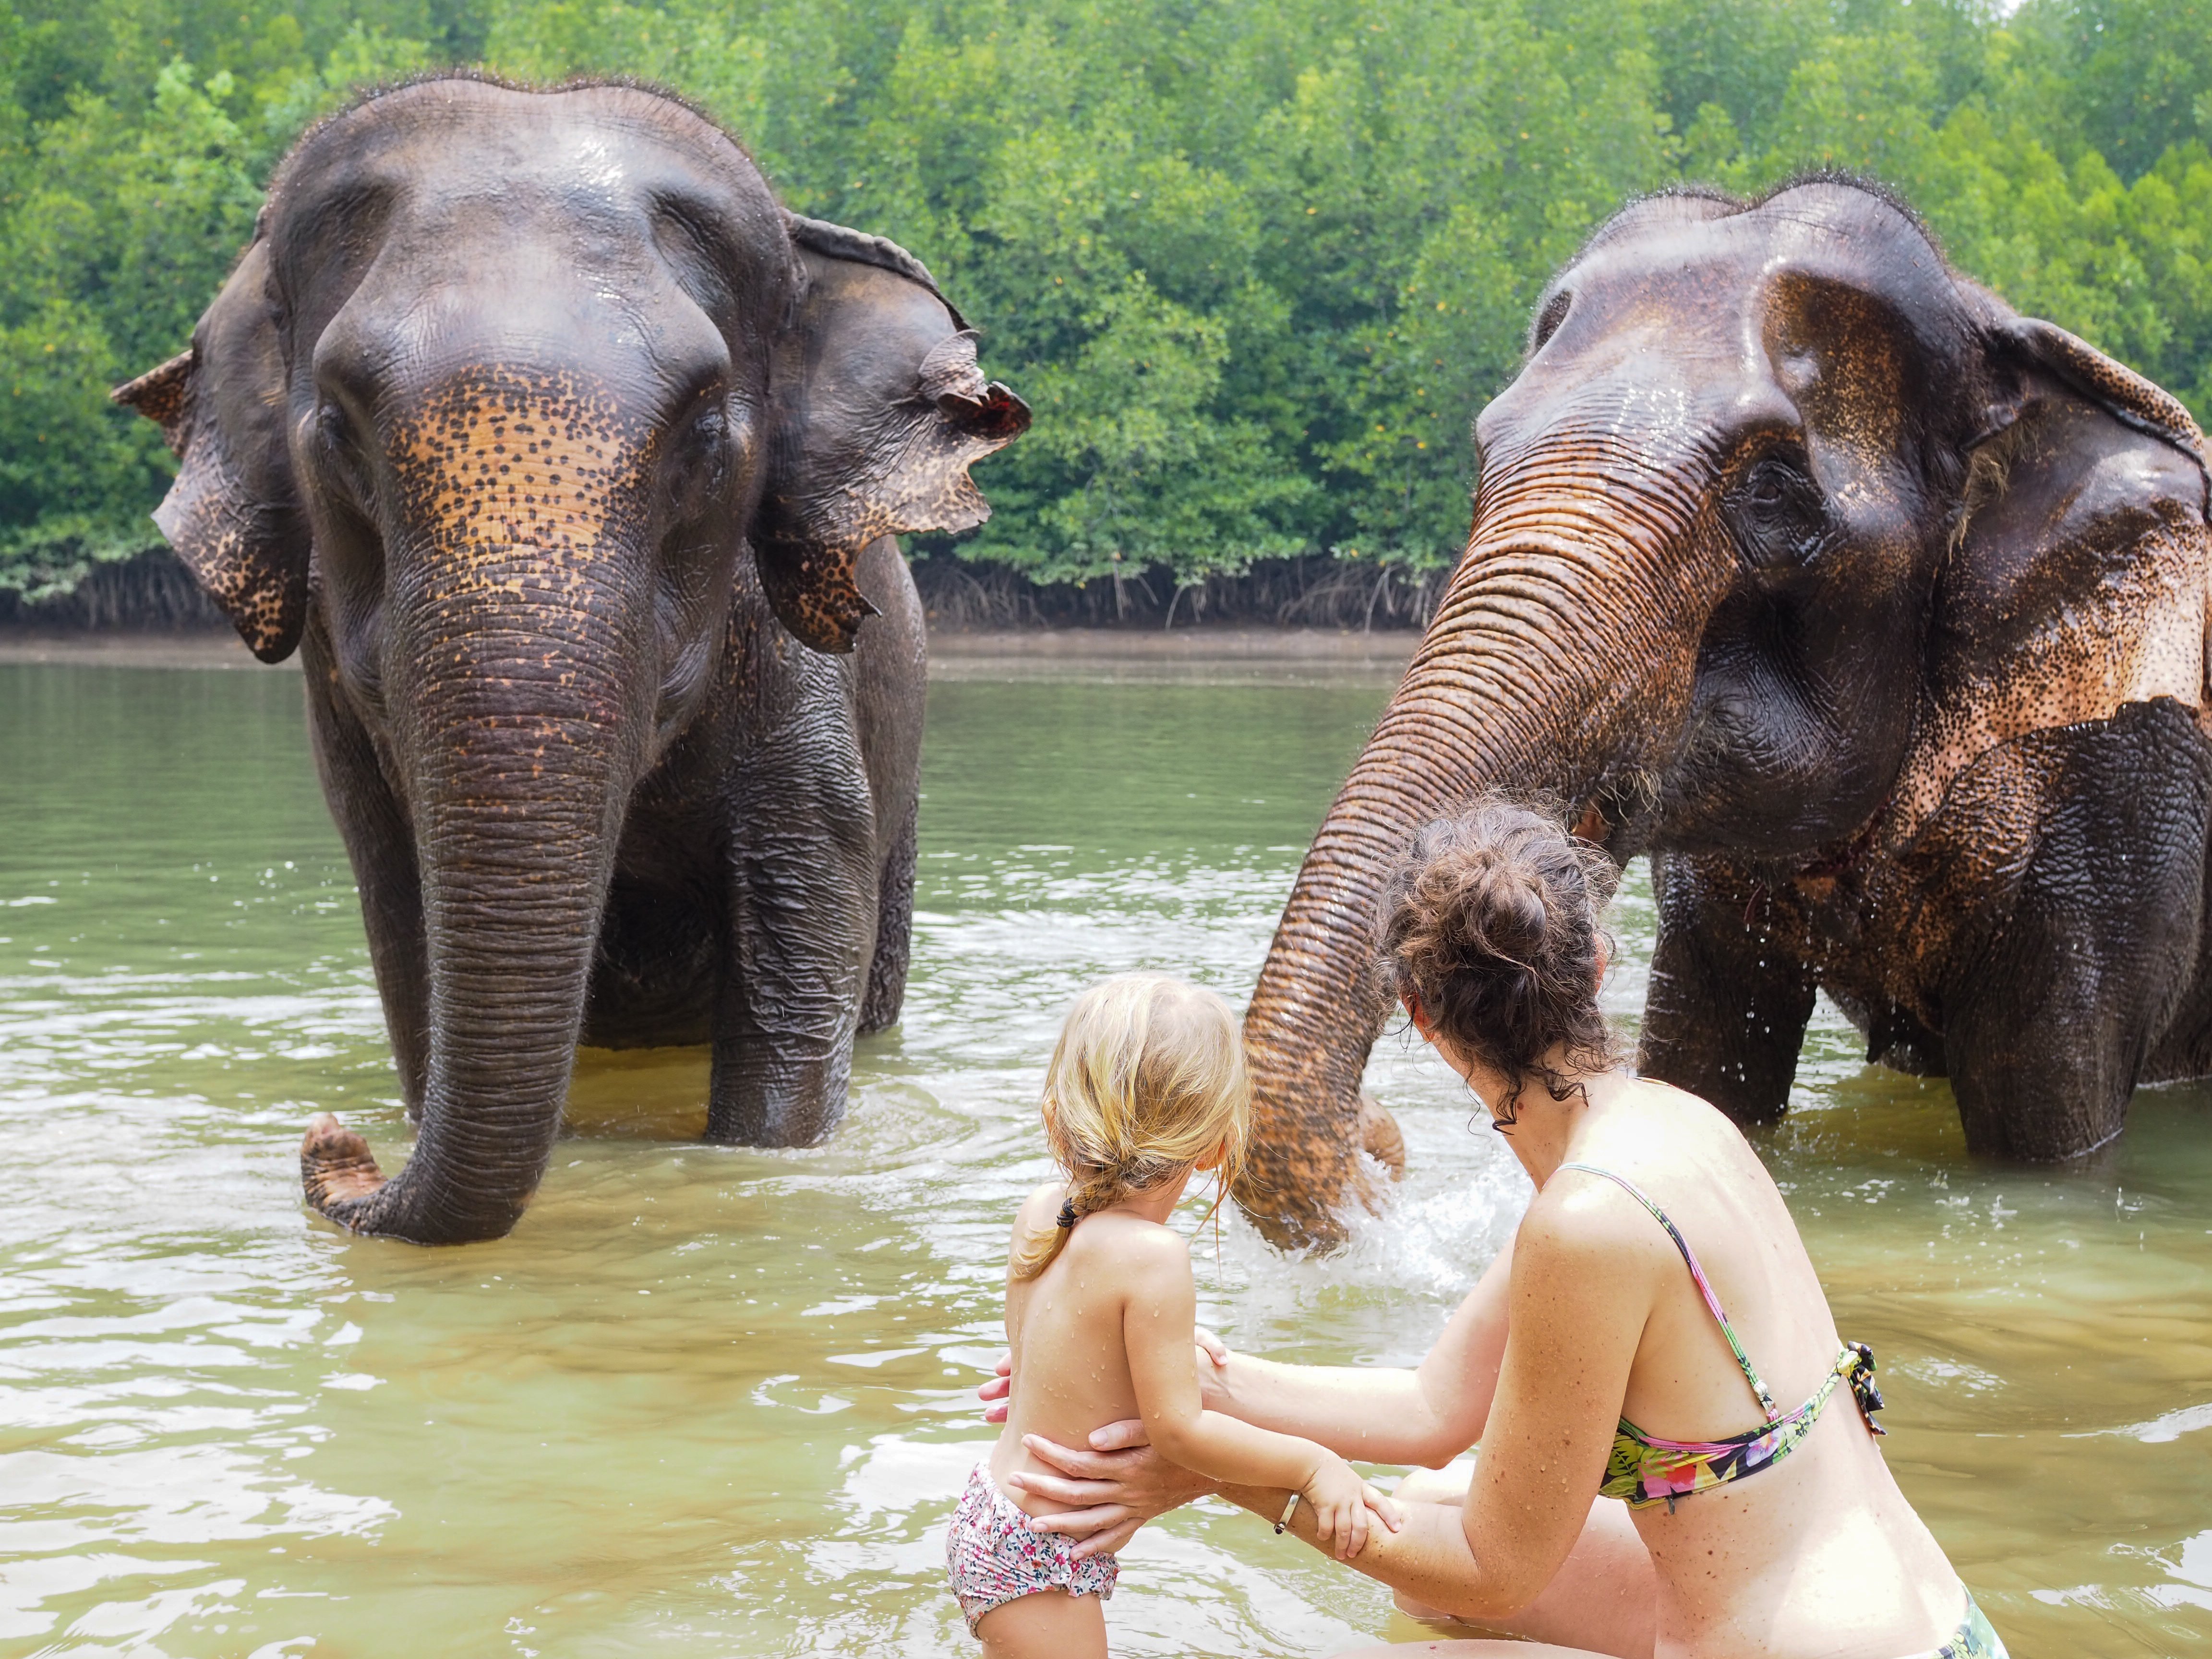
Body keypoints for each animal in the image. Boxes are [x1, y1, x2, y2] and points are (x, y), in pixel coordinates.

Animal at [111, 75, 1029, 1245]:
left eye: (706, 433)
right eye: (339, 430)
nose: (330, 1147)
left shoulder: (791, 667)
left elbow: (806, 903)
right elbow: (406, 929)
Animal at [1236, 177, 2212, 1247]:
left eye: (1774, 491)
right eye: (1485, 453)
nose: (1379, 1142)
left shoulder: (2110, 808)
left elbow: (2049, 1134)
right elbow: (1706, 1075)